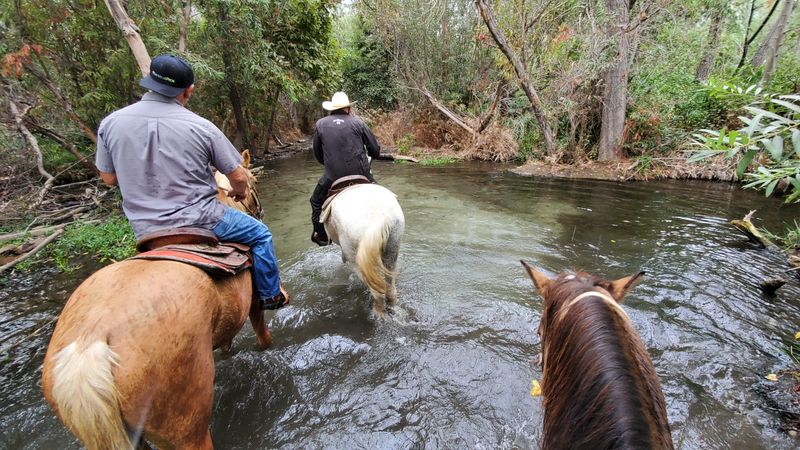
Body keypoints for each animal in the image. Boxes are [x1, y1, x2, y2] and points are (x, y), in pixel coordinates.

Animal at [41, 150, 277, 449]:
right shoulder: (254, 302)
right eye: (253, 180)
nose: (260, 212)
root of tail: (89, 343)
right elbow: (263, 335)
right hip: (184, 427)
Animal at [321, 182, 404, 317]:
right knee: (390, 289)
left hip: (355, 258)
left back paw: (378, 315)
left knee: (377, 292)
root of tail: (379, 217)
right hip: (392, 248)